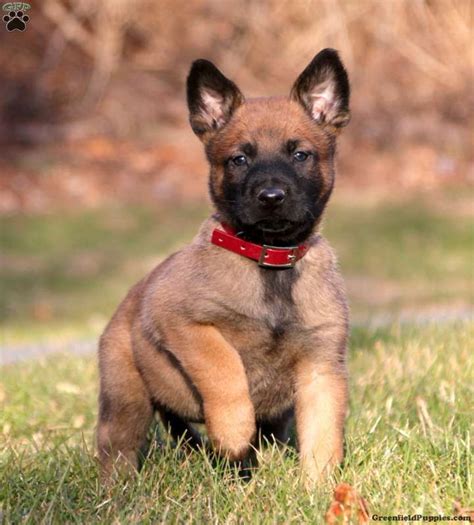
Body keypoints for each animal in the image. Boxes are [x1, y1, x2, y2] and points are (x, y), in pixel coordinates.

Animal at [96, 47, 350, 486]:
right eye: (239, 159)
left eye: (300, 155)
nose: (271, 196)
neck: (270, 261)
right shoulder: (183, 322)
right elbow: (224, 367)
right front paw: (232, 431)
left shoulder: (321, 367)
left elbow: (323, 436)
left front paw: (319, 488)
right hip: (126, 397)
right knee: (116, 447)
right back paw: (118, 490)